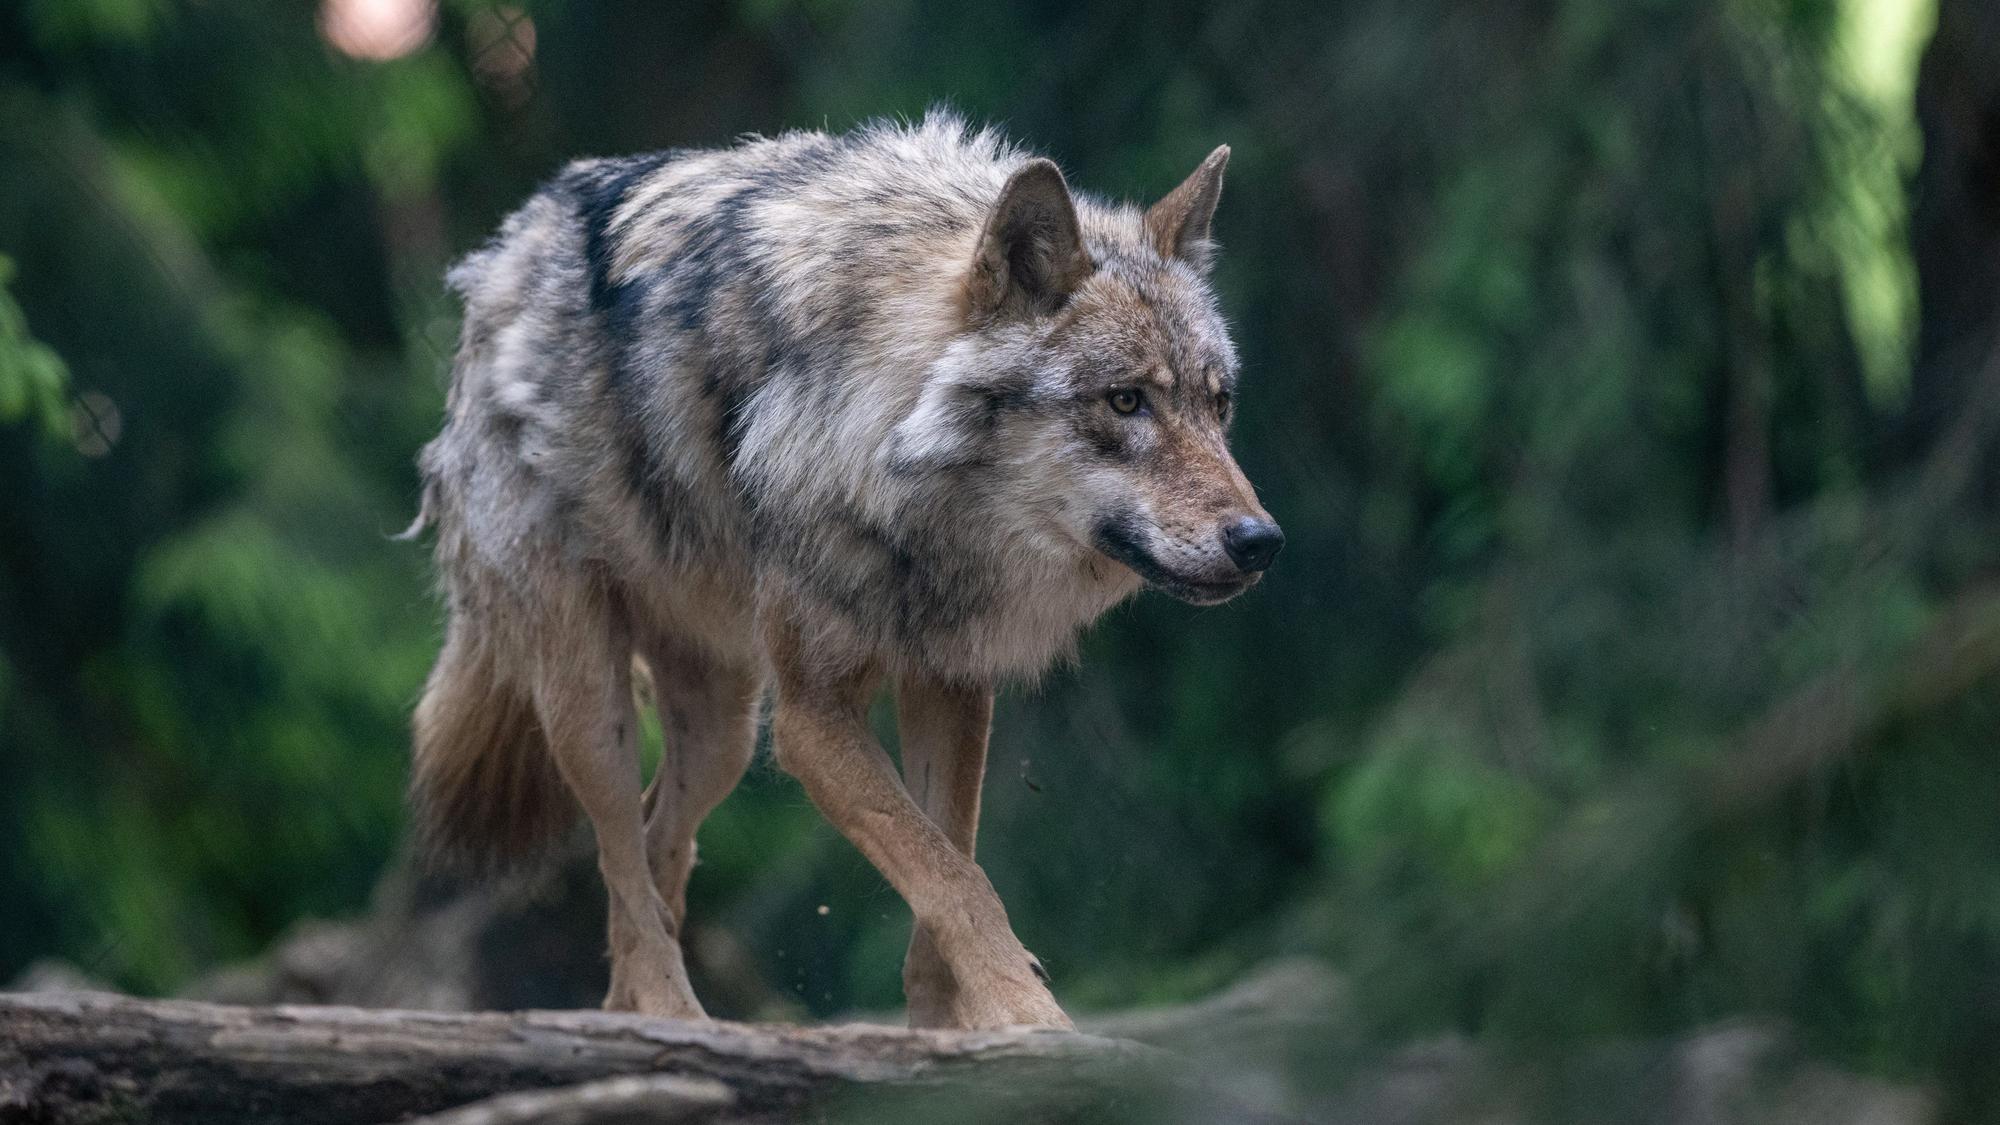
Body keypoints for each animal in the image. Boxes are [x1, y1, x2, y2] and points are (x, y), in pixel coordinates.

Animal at [405, 113, 1282, 1031]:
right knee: (621, 860)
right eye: (1124, 401)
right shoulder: (811, 720)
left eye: (1218, 405)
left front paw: (948, 1029)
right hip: (594, 704)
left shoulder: (950, 684)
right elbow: (954, 878)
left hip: (721, 732)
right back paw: (670, 1015)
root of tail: (504, 250)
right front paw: (1029, 1016)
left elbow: (948, 864)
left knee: (655, 849)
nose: (1260, 539)